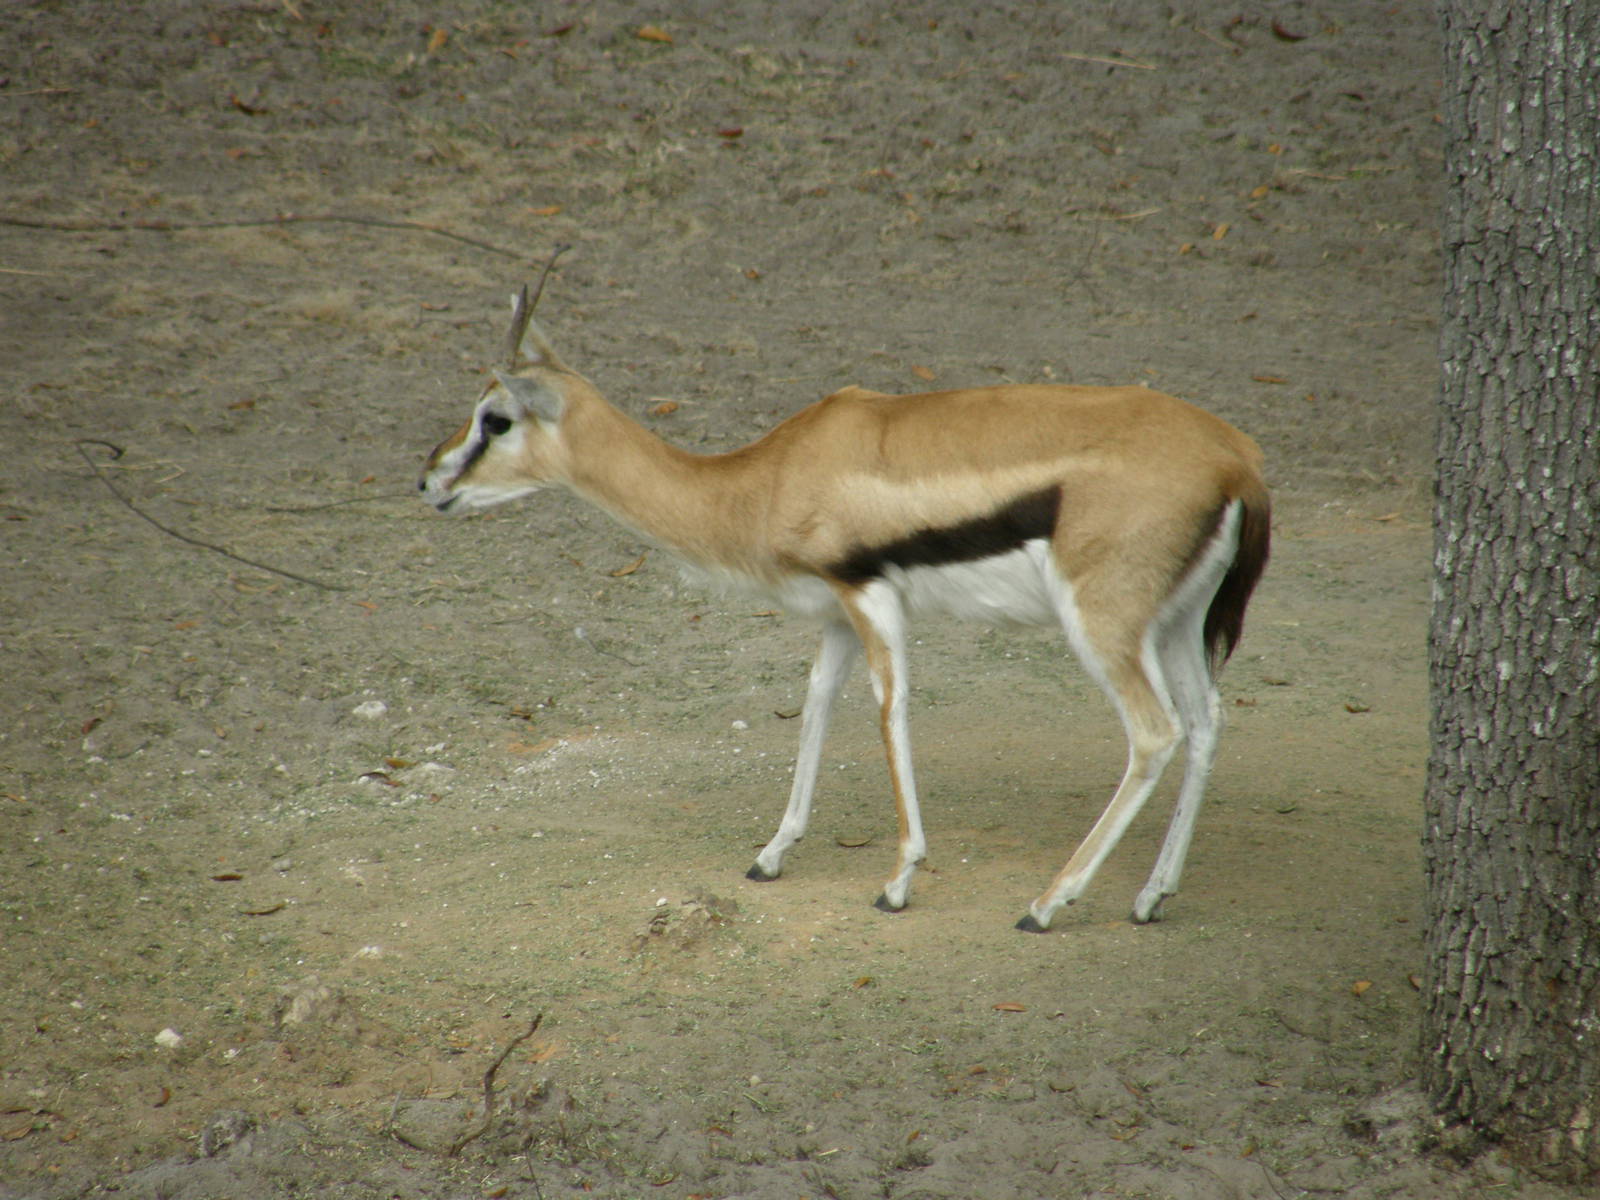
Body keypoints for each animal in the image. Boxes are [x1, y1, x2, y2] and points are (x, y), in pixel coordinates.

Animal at [419, 285, 1270, 931]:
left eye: (496, 418)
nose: (429, 481)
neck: (770, 477)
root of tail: (1237, 462)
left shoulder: (869, 598)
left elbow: (889, 711)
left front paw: (897, 882)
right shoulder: (833, 616)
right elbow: (817, 705)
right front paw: (771, 855)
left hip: (1104, 626)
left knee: (1155, 734)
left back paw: (1046, 904)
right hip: (1175, 625)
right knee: (1206, 722)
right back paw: (1151, 896)